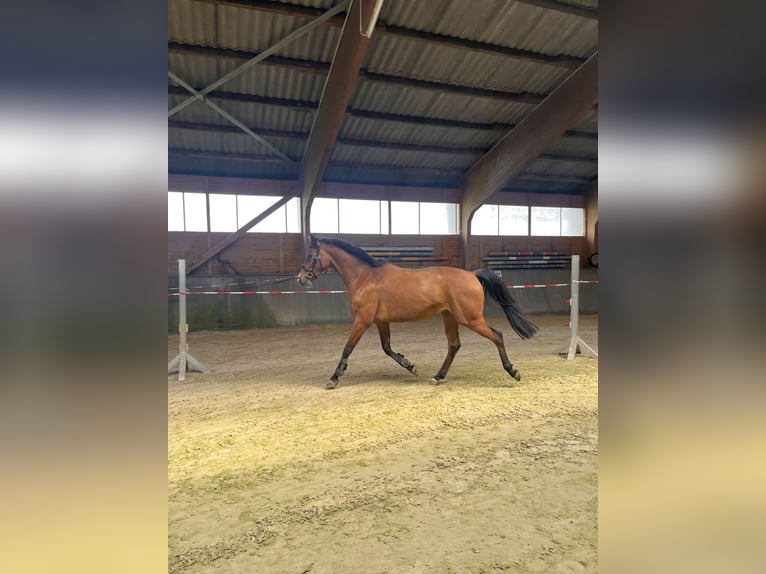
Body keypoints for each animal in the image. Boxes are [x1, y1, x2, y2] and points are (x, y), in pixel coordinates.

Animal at [297, 235, 538, 389]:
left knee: (497, 336)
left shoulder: (362, 321)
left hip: (470, 319)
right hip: (450, 317)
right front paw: (410, 366)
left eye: (310, 255)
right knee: (454, 345)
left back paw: (513, 371)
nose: (301, 278)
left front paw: (334, 378)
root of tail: (472, 275)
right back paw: (437, 377)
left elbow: (348, 348)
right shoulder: (381, 322)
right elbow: (387, 348)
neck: (366, 277)